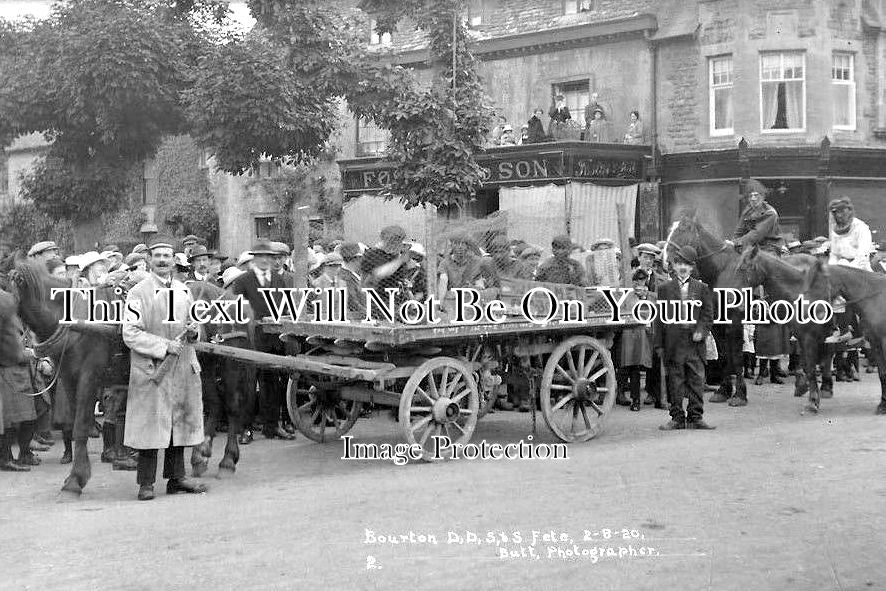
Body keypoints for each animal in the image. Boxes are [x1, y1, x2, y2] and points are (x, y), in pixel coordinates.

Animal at [7, 262, 123, 498]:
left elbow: (80, 426)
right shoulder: (69, 378)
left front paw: (75, 480)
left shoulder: (89, 375)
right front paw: (76, 476)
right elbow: (76, 423)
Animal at [186, 280, 255, 478]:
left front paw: (229, 459)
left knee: (231, 404)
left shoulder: (230, 365)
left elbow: (232, 406)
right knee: (215, 403)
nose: (192, 333)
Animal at [664, 214, 748, 408]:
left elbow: (737, 356)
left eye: (684, 229)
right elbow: (724, 354)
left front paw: (740, 394)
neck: (722, 271)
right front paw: (723, 390)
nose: (666, 261)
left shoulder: (735, 322)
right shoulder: (716, 324)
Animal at [736, 246, 840, 412]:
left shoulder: (812, 338)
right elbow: (807, 365)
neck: (802, 292)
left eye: (745, 268)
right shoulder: (804, 337)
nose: (739, 304)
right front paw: (807, 390)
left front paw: (813, 400)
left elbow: (814, 365)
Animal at [800, 260, 886, 416]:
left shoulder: (884, 341)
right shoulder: (875, 343)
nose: (803, 311)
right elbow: (882, 373)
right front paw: (883, 405)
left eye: (817, 284)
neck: (875, 298)